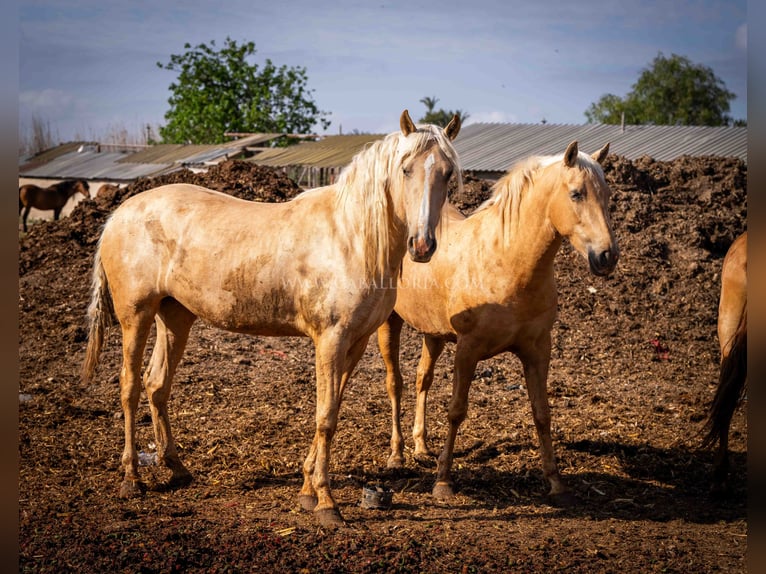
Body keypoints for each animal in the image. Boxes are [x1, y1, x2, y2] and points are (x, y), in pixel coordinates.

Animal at [81, 110, 462, 528]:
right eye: (406, 169)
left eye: (446, 173)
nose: (422, 246)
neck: (351, 238)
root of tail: (118, 215)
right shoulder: (330, 340)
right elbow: (325, 416)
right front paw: (326, 503)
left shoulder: (356, 341)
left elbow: (332, 408)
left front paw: (307, 491)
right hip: (136, 316)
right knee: (130, 386)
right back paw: (131, 479)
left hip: (175, 316)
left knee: (156, 384)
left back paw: (177, 468)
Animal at [380, 142, 620, 506]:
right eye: (576, 193)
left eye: (607, 195)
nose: (607, 256)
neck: (507, 261)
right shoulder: (467, 350)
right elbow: (456, 411)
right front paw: (443, 481)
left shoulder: (538, 350)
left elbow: (542, 413)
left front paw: (555, 481)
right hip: (389, 324)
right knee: (396, 383)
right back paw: (397, 455)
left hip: (433, 334)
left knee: (423, 380)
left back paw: (421, 446)